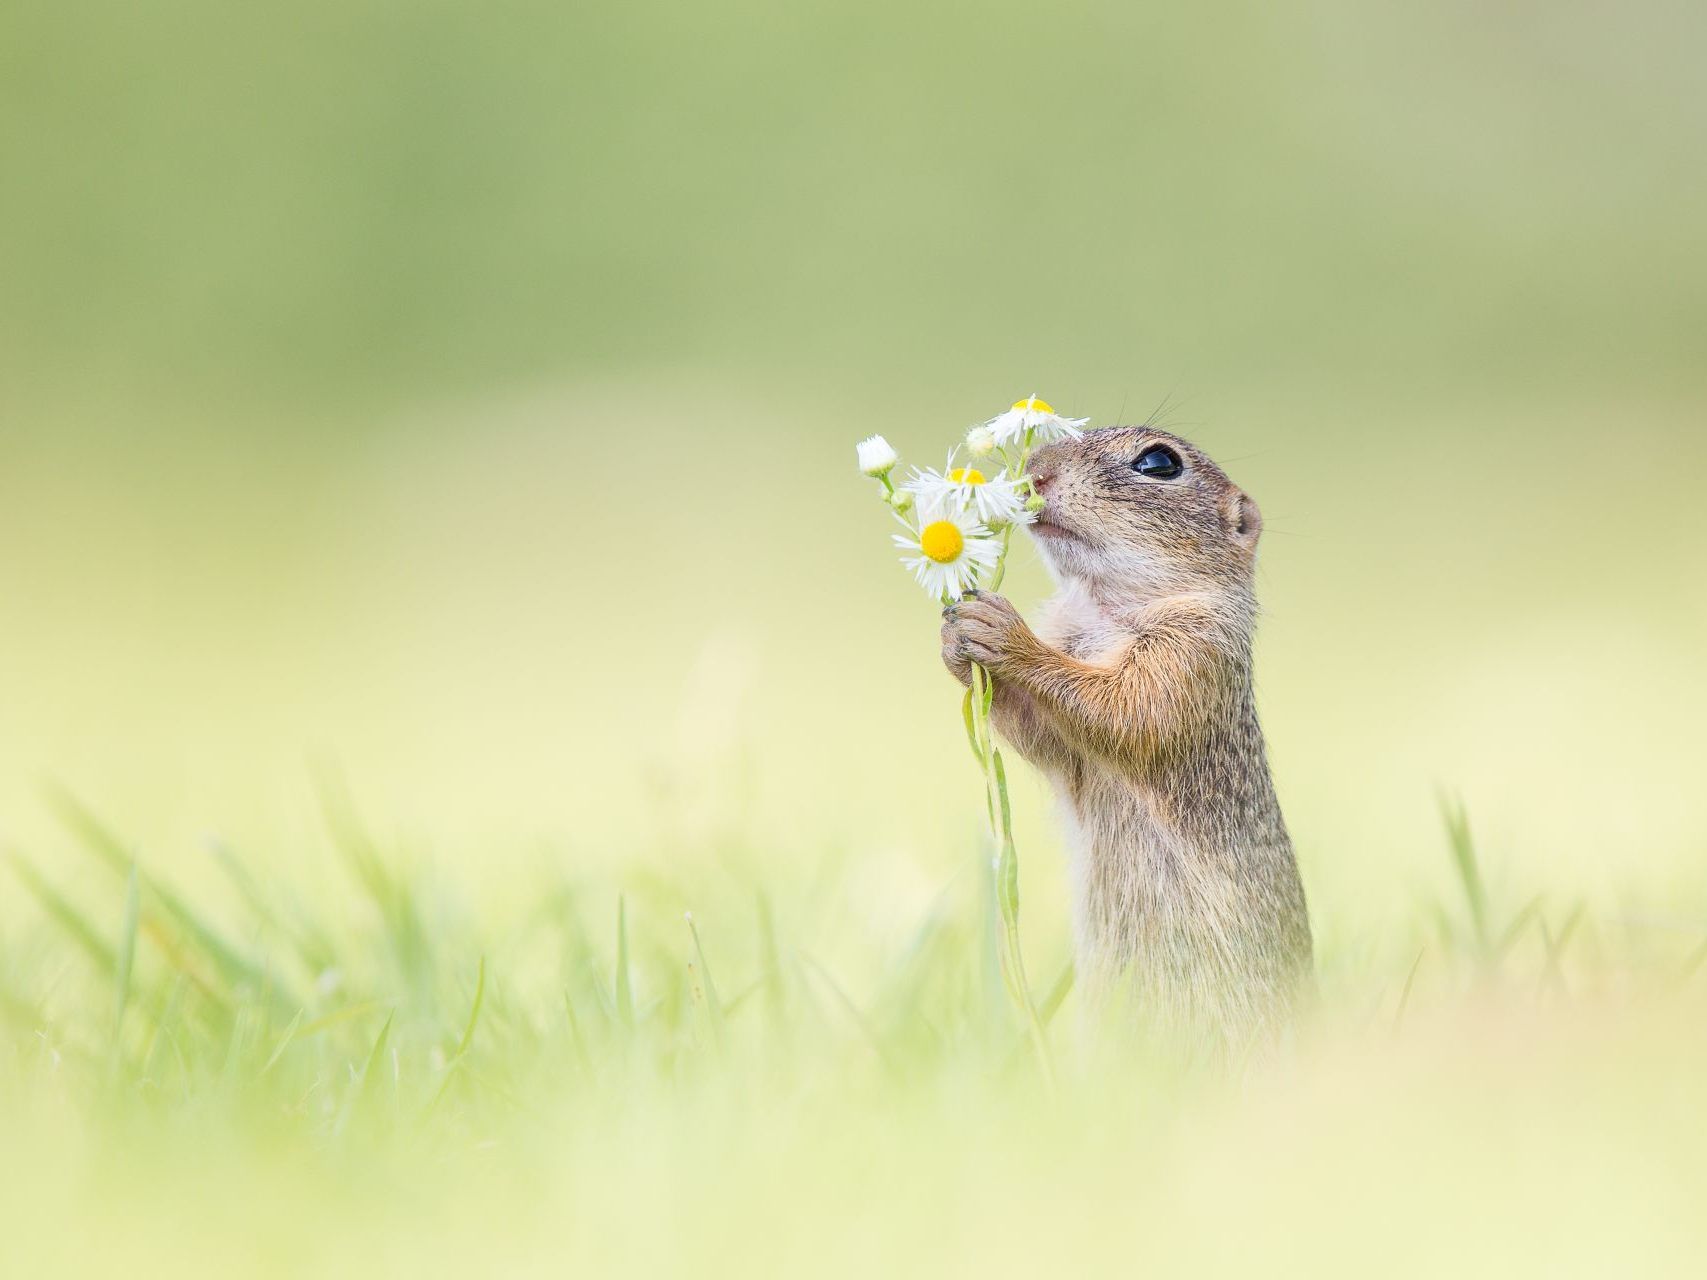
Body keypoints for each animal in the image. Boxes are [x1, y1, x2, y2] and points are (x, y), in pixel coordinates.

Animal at [942, 428, 1310, 1051]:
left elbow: (1123, 709)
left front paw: (1004, 632)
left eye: (1158, 463)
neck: (1104, 608)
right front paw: (955, 640)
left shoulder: (1191, 657)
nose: (1036, 468)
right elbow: (1044, 736)